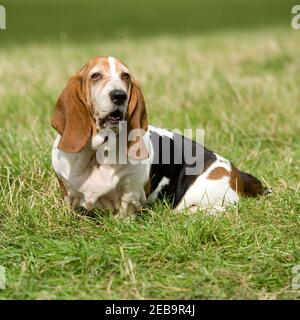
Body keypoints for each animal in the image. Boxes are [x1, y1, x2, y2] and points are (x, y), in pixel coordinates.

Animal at [51, 57, 264, 218]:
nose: (119, 95)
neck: (98, 154)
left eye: (125, 76)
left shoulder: (130, 193)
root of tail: (237, 173)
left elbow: (125, 209)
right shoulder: (67, 191)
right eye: (95, 76)